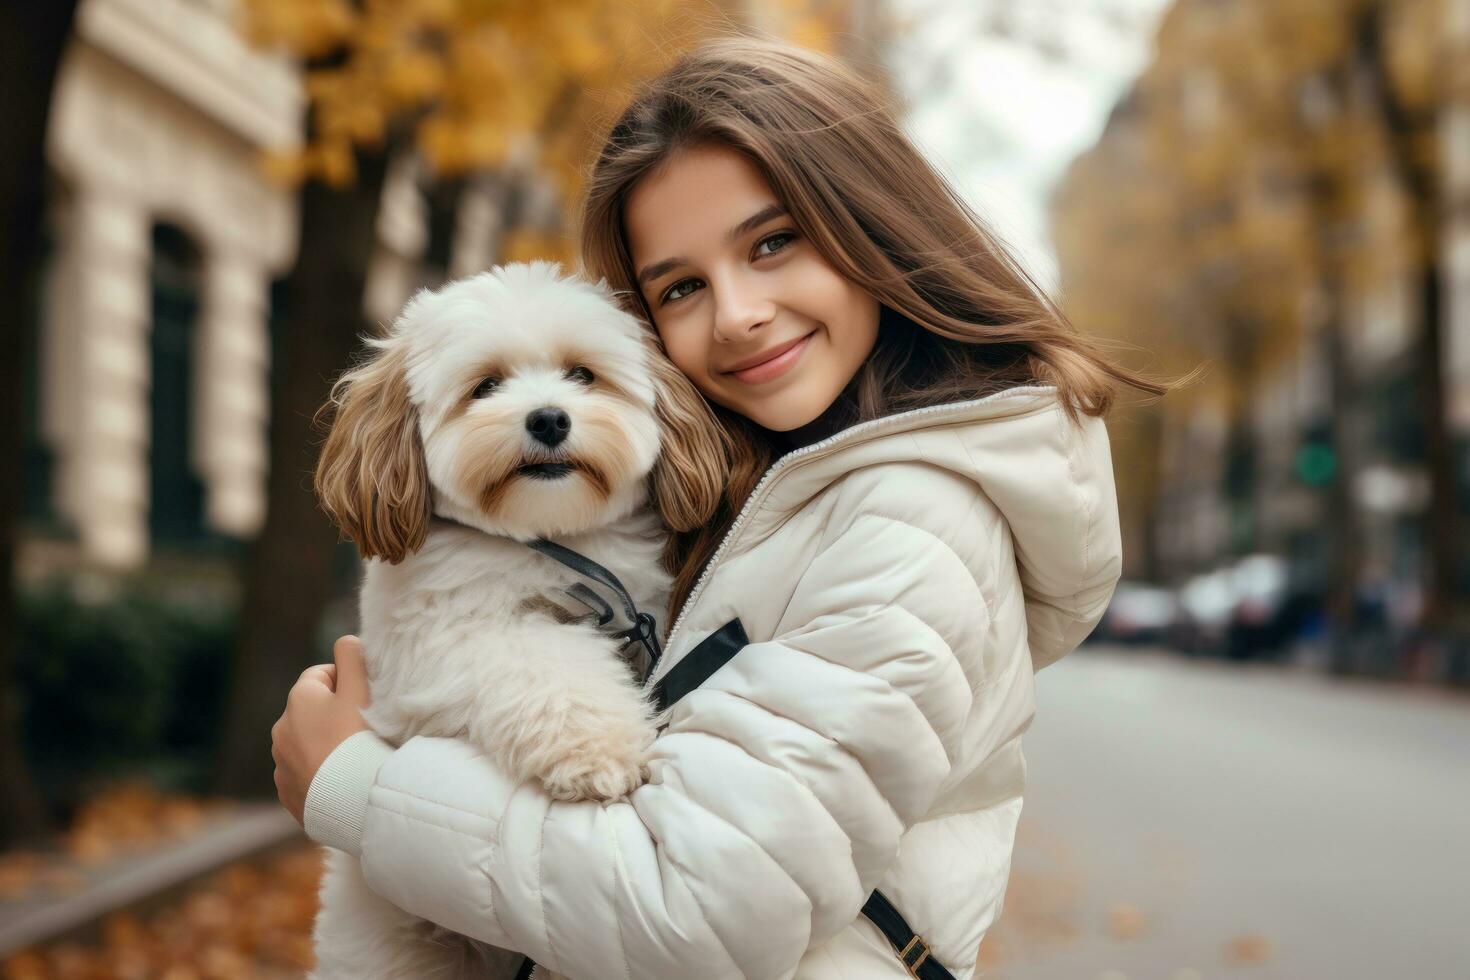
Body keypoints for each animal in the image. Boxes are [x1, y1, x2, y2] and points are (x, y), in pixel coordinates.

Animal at [311, 260, 723, 980]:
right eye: (486, 386)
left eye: (582, 374)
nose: (550, 418)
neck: (546, 541)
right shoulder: (452, 643)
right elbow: (548, 665)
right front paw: (600, 750)